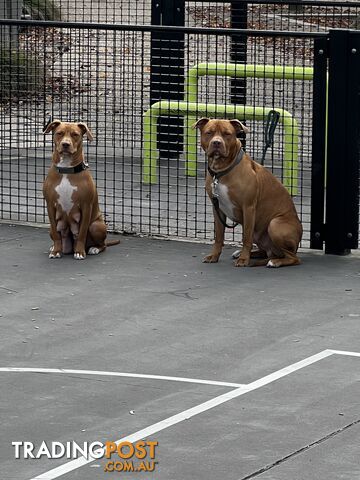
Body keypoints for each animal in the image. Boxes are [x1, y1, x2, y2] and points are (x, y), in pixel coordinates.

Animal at [43, 122, 119, 260]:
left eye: (75, 134)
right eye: (59, 133)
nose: (65, 144)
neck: (66, 169)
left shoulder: (86, 206)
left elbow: (82, 233)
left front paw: (79, 252)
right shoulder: (50, 205)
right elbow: (56, 235)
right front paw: (56, 251)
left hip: (96, 226)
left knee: (103, 244)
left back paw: (94, 248)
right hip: (51, 229)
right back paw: (55, 247)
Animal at [195, 116, 302, 266]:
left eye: (227, 134)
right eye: (209, 132)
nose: (216, 142)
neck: (222, 170)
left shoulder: (249, 207)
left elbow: (246, 237)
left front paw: (244, 259)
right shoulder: (217, 209)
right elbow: (219, 237)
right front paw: (214, 256)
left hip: (274, 224)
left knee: (293, 257)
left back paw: (274, 262)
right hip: (261, 236)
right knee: (267, 251)